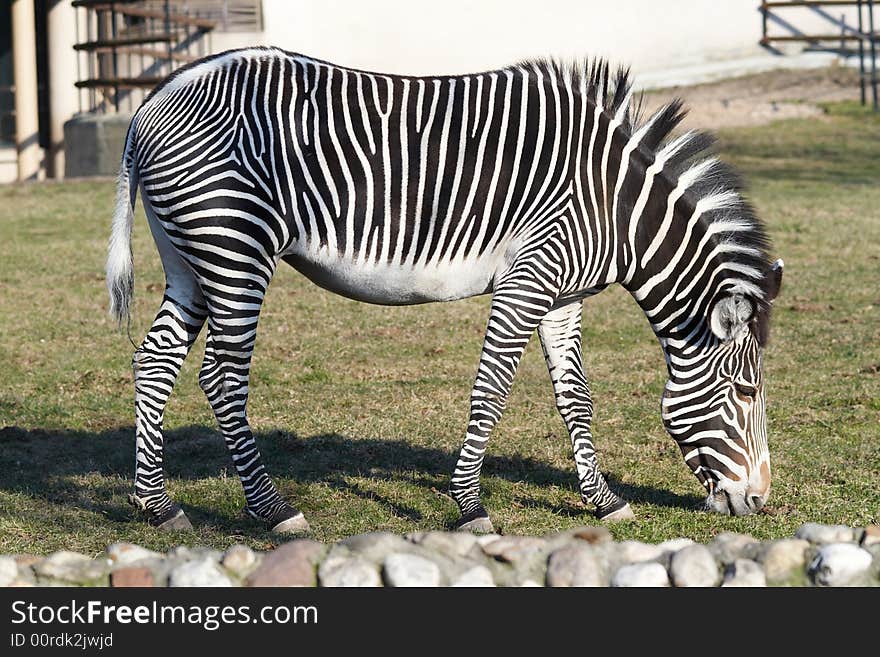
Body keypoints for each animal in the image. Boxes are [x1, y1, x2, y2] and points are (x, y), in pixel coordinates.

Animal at [108, 47, 784, 532]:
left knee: (156, 359)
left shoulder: (564, 295)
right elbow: (490, 391)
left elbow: (576, 398)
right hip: (234, 248)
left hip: (190, 257)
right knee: (221, 377)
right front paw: (470, 506)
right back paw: (274, 511)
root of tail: (160, 94)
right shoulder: (529, 279)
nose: (759, 502)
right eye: (746, 391)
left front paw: (602, 499)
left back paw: (158, 506)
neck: (615, 208)